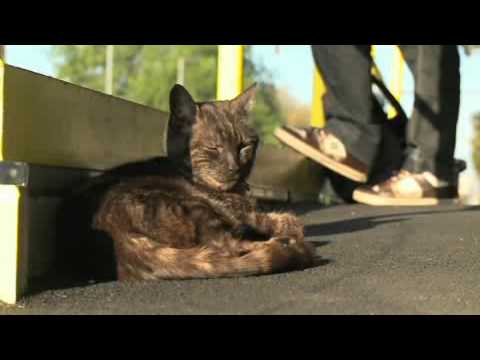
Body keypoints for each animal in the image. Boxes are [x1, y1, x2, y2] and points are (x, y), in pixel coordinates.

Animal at [57, 83, 316, 282]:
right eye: (214, 148)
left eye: (244, 146)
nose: (235, 167)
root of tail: (117, 234)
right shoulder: (240, 214)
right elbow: (281, 220)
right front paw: (288, 226)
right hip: (196, 208)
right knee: (227, 247)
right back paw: (290, 246)